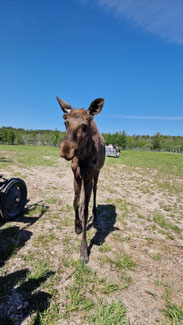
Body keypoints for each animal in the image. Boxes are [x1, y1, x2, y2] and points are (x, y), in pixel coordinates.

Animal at [56, 95, 105, 262]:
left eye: (84, 126)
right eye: (66, 122)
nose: (66, 150)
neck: (83, 158)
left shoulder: (89, 177)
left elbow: (84, 211)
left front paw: (84, 251)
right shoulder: (76, 176)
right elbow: (76, 202)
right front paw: (77, 226)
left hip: (97, 173)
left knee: (96, 191)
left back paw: (95, 214)